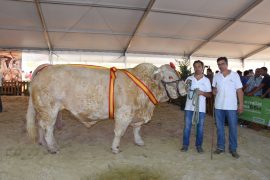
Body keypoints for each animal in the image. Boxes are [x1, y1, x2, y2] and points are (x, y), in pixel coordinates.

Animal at [26, 63, 187, 153]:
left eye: (177, 74)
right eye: (170, 77)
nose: (185, 89)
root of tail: (45, 68)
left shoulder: (137, 114)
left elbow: (137, 129)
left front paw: (138, 141)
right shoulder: (124, 113)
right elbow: (119, 133)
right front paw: (115, 148)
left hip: (44, 110)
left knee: (40, 126)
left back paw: (43, 143)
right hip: (49, 109)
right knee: (48, 129)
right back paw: (52, 147)